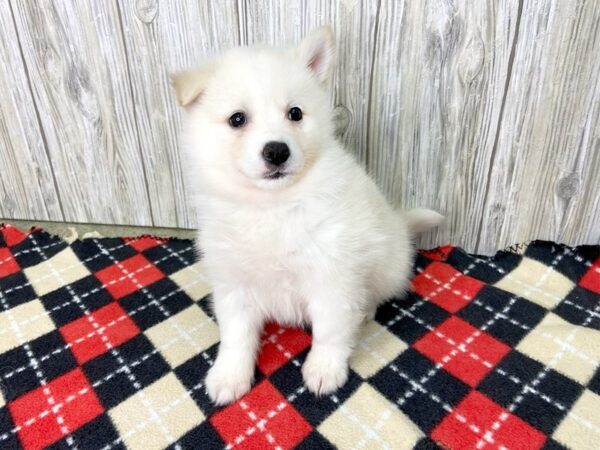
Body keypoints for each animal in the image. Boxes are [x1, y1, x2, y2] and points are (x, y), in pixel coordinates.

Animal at [171, 25, 442, 404]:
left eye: (295, 114)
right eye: (237, 119)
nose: (277, 151)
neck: (272, 206)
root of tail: (400, 225)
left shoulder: (332, 276)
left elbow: (330, 330)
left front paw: (324, 369)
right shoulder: (233, 282)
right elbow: (236, 335)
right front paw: (228, 375)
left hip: (387, 269)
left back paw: (366, 311)